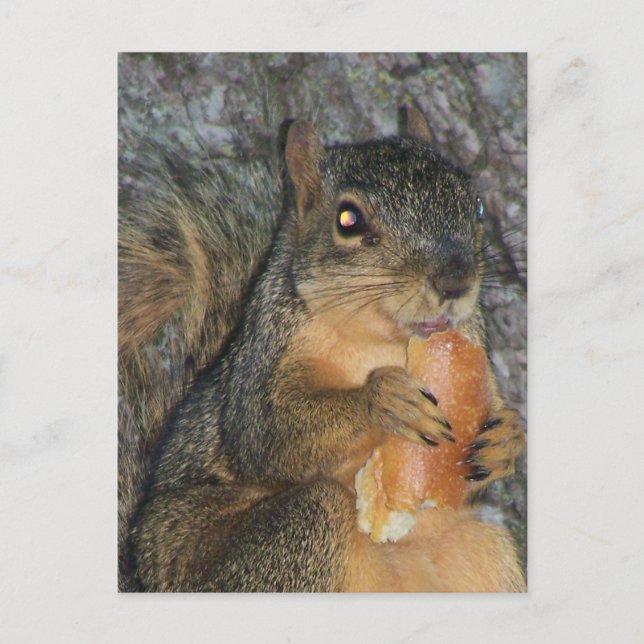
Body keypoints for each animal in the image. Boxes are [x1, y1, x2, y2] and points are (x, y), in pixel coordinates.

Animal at [118, 106, 526, 592]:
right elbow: (264, 437)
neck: (383, 341)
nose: (455, 282)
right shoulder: (264, 356)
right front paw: (381, 400)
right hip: (289, 536)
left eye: (476, 205)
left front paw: (509, 438)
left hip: (485, 554)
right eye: (348, 219)